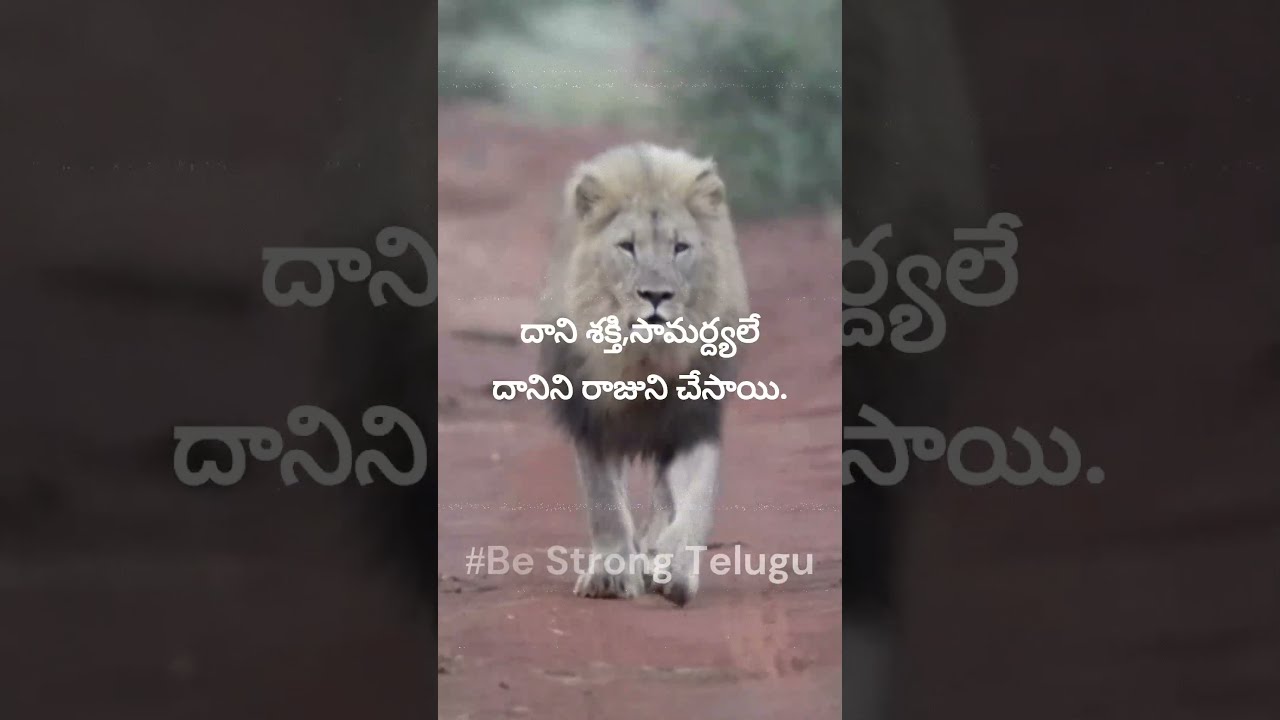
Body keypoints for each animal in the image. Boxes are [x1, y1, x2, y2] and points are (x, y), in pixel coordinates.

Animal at [537, 143, 749, 607]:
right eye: (627, 247)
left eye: (680, 247)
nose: (655, 295)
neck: (644, 359)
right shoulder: (592, 423)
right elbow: (605, 505)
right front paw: (611, 575)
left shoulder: (693, 421)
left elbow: (696, 499)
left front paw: (674, 567)